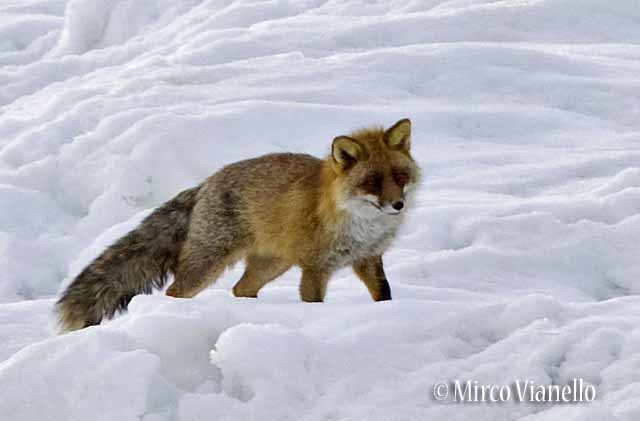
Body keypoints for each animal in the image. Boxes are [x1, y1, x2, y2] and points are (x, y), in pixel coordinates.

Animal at [56, 118, 420, 331]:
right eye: (372, 181)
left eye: (399, 176)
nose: (398, 205)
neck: (361, 227)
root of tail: (206, 182)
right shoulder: (315, 267)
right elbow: (314, 303)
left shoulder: (368, 259)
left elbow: (384, 294)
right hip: (207, 265)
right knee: (176, 292)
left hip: (272, 265)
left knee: (240, 289)